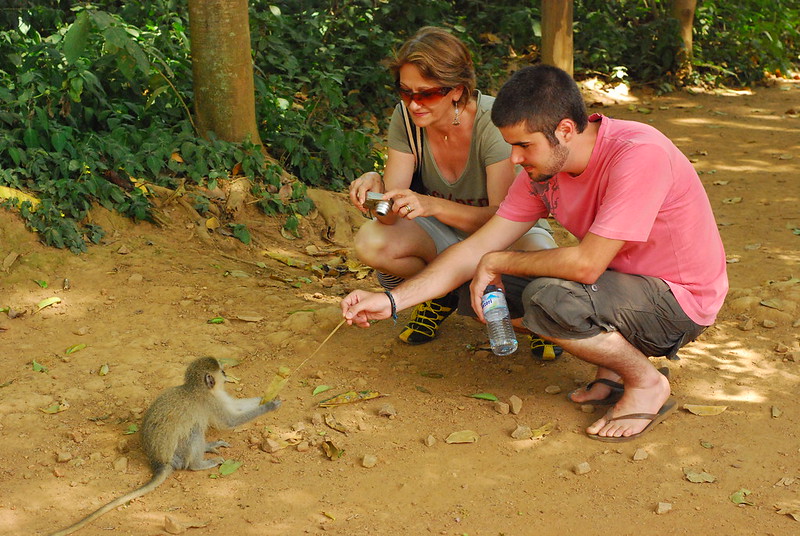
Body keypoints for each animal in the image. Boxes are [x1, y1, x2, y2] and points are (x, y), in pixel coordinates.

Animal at [50, 356, 282, 536]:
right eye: (221, 371)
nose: (226, 375)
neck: (196, 389)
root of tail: (158, 462)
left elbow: (237, 406)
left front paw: (270, 396)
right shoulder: (211, 402)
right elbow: (230, 421)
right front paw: (270, 405)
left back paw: (208, 446)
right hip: (178, 455)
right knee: (194, 430)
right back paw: (199, 464)